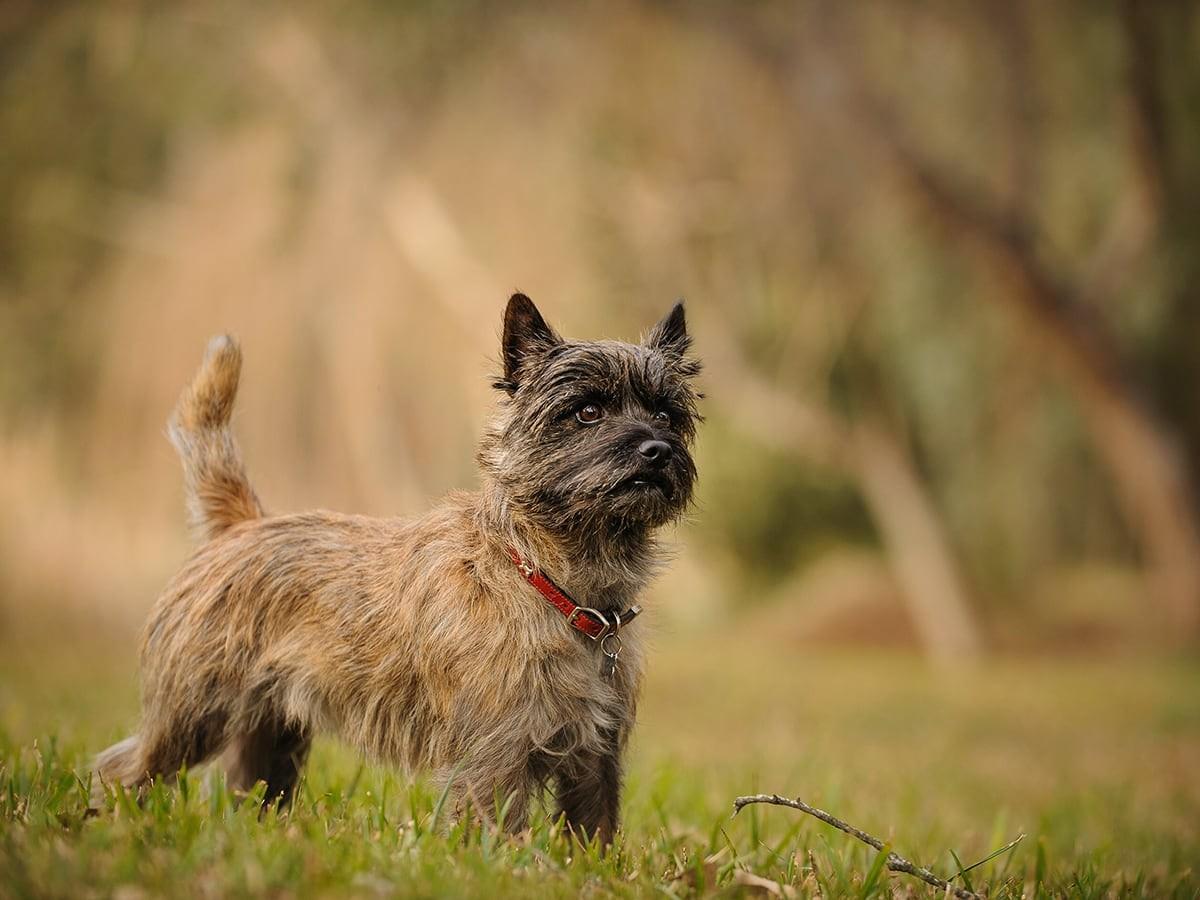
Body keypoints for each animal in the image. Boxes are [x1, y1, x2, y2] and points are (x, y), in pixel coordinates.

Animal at [96, 296, 700, 844]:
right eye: (587, 411)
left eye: (667, 414)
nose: (657, 449)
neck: (555, 583)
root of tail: (242, 524)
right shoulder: (494, 759)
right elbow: (497, 833)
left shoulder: (596, 758)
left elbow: (593, 834)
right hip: (193, 714)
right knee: (124, 769)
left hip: (271, 736)